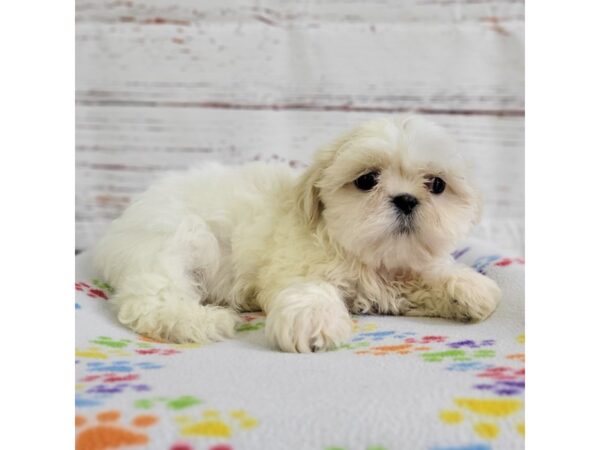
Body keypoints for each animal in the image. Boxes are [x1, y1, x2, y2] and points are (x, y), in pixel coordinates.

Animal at [94, 115, 502, 352]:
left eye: (437, 185)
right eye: (367, 180)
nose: (406, 200)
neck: (367, 257)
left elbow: (428, 276)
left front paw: (468, 286)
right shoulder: (294, 265)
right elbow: (310, 287)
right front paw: (313, 321)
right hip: (176, 239)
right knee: (150, 299)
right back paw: (202, 320)